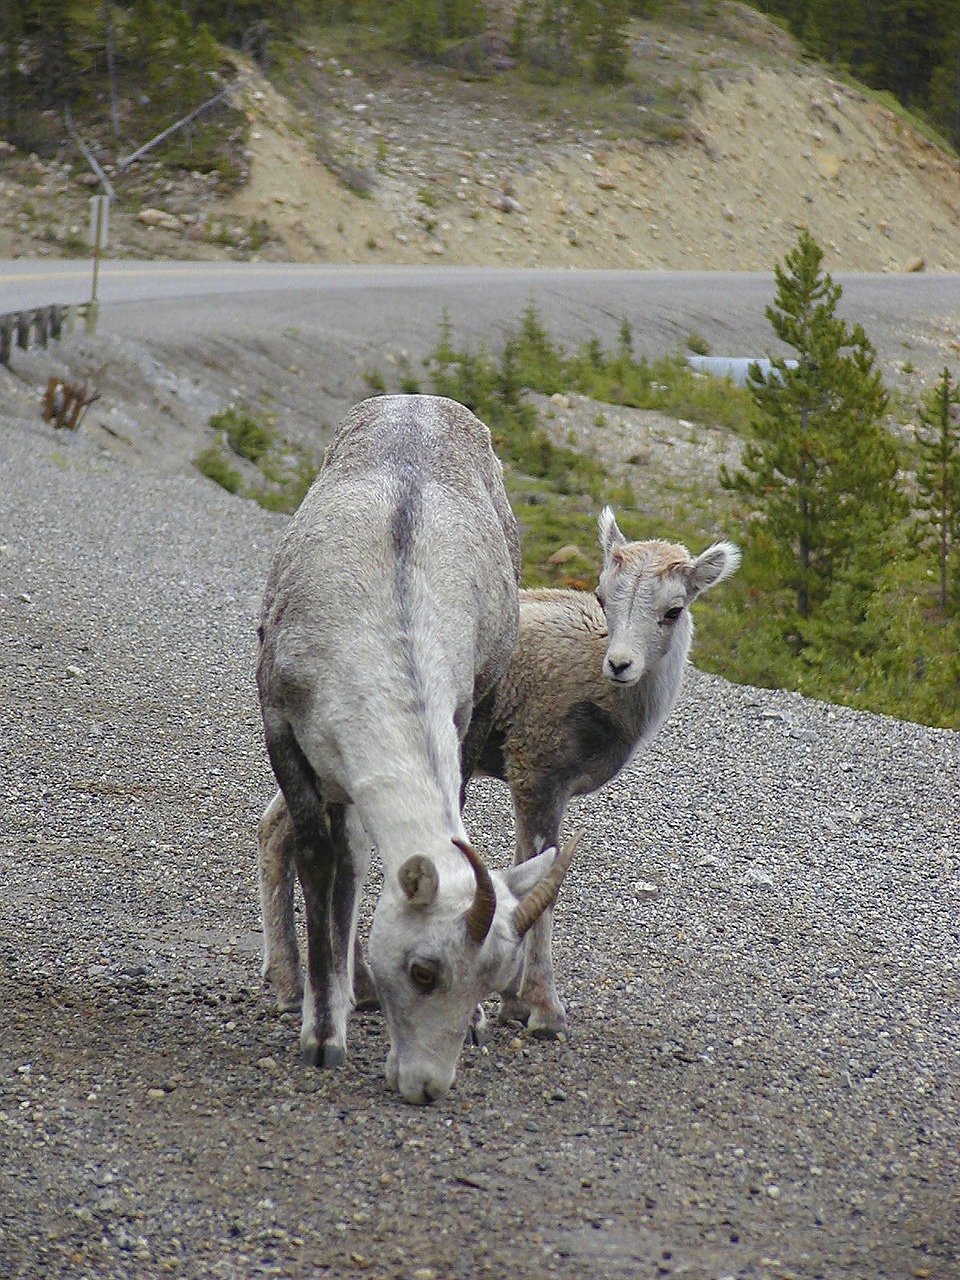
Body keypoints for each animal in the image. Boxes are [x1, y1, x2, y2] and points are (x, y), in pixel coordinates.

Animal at [256, 394, 578, 1105]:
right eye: (424, 971)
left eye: (492, 980)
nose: (427, 1087)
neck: (386, 624)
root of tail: (420, 402)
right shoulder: (284, 732)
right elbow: (322, 860)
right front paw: (324, 1037)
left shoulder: (462, 717)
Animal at [259, 496, 742, 1039]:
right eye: (602, 596)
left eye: (672, 610)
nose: (620, 665)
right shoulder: (537, 775)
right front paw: (543, 1010)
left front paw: (512, 999)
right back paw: (306, 988)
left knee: (276, 830)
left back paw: (304, 984)